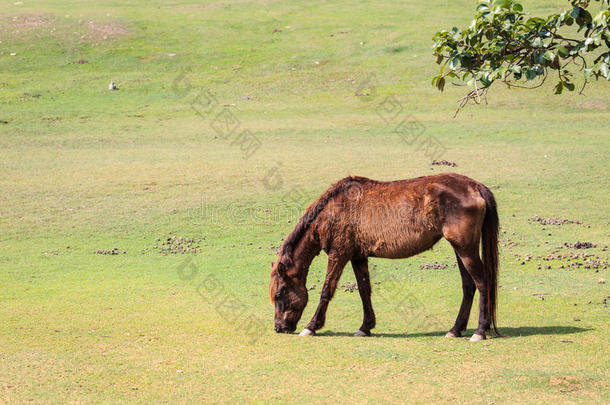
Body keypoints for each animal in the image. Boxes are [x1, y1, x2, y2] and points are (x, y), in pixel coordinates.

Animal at [268, 172, 496, 340]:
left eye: (279, 294)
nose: (279, 327)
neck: (335, 209)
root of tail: (475, 186)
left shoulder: (339, 254)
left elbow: (326, 291)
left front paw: (311, 326)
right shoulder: (358, 256)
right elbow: (364, 290)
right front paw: (365, 327)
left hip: (465, 249)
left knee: (482, 282)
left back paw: (479, 331)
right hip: (460, 249)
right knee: (469, 285)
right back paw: (455, 329)